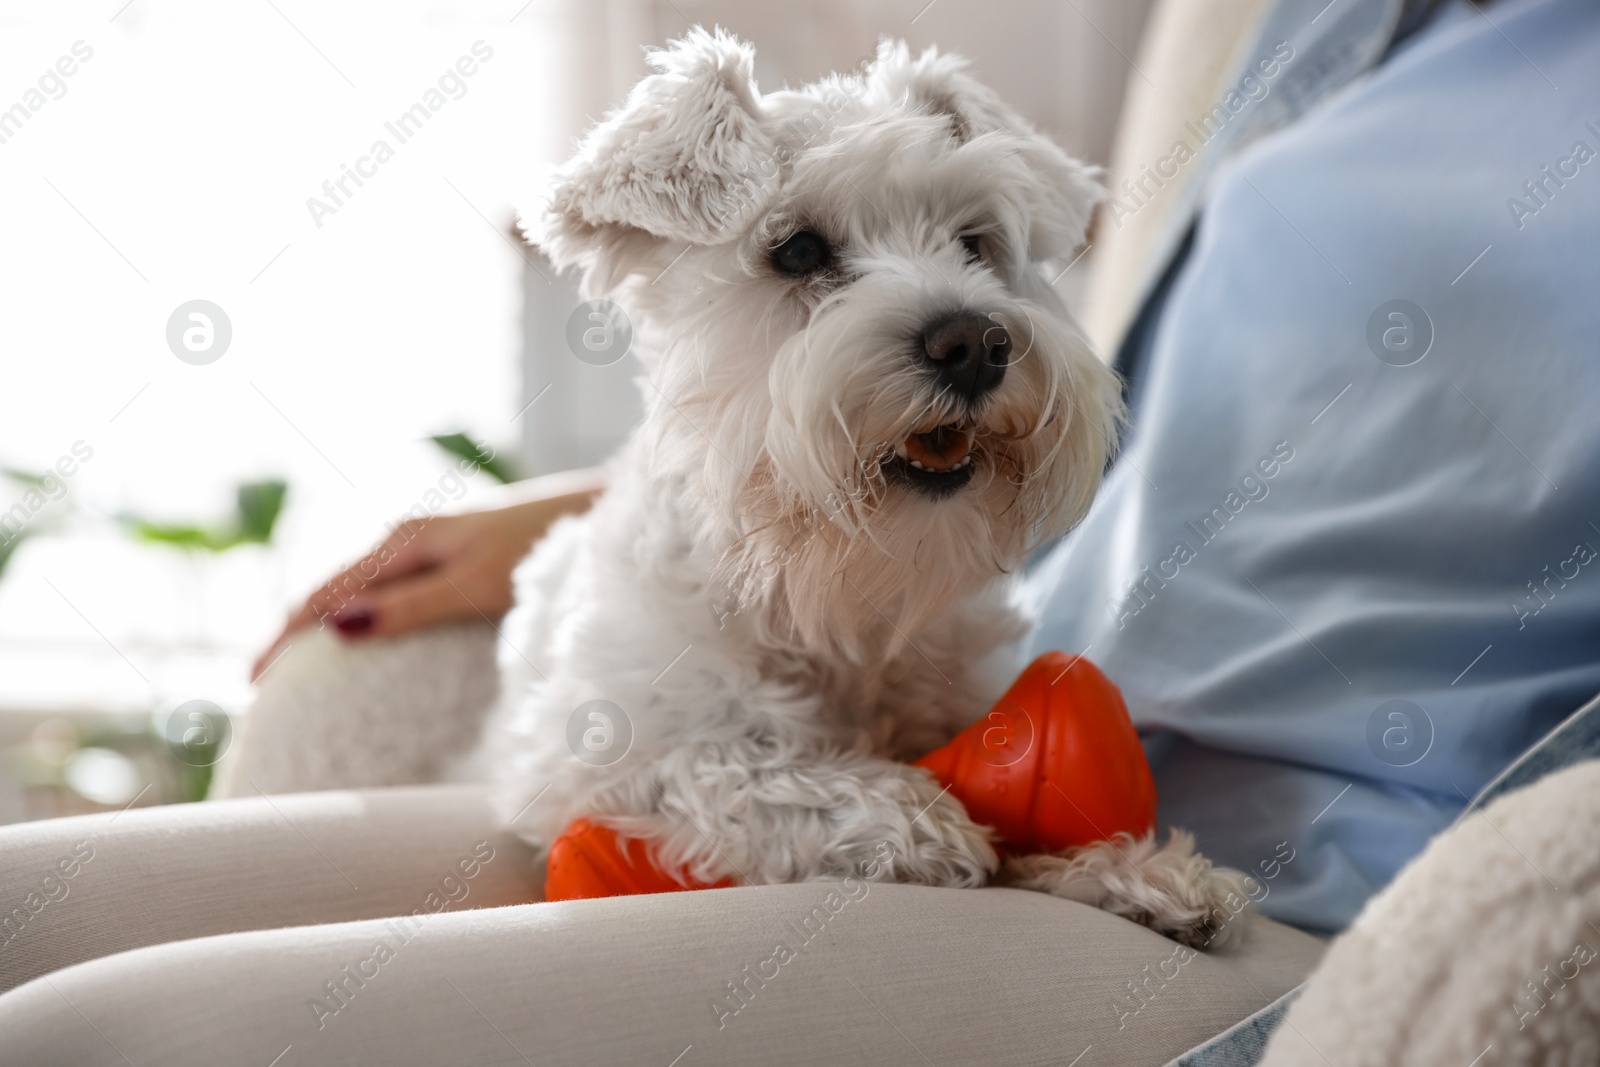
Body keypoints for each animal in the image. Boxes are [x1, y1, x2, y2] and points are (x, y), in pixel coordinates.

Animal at [492, 27, 1241, 940]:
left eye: (973, 241)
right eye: (798, 251)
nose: (977, 344)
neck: (834, 592)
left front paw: (1138, 871)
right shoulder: (597, 753)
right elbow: (733, 766)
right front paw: (909, 817)